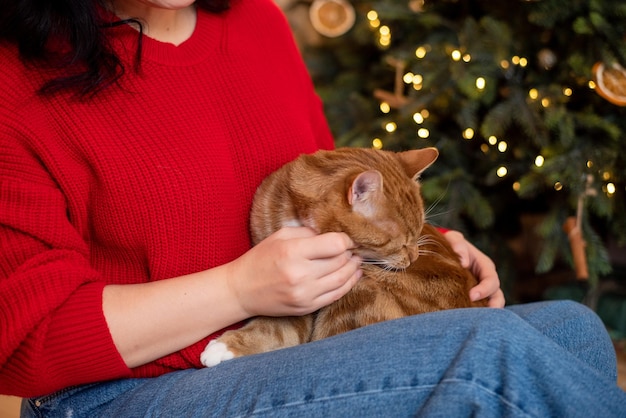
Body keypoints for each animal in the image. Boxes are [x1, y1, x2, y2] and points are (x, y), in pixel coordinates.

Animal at [200, 146, 488, 366]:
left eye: (418, 234)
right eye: (400, 244)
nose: (414, 258)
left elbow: (276, 329)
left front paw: (223, 347)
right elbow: (274, 327)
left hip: (362, 287)